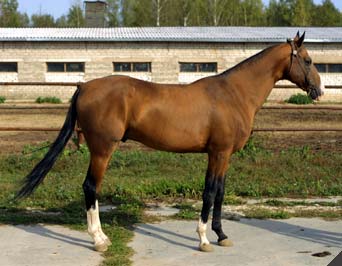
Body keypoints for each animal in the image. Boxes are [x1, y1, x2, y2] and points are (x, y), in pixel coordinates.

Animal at [17, 32, 324, 252]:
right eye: (308, 60)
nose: (319, 90)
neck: (234, 94)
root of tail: (84, 86)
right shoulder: (217, 153)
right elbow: (209, 192)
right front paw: (203, 239)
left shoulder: (224, 156)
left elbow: (220, 193)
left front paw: (221, 235)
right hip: (102, 150)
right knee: (90, 188)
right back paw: (100, 240)